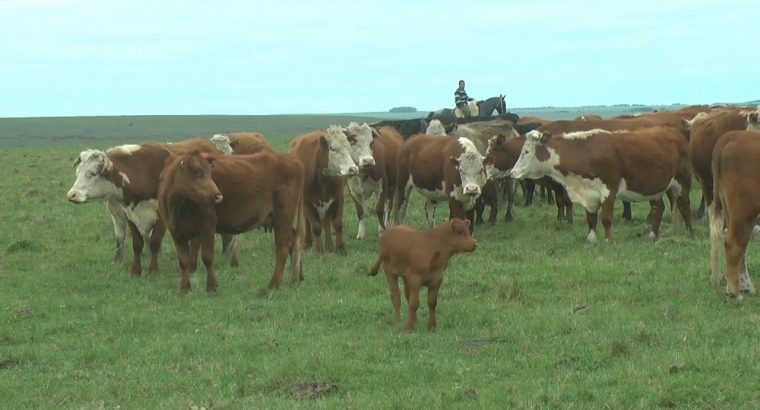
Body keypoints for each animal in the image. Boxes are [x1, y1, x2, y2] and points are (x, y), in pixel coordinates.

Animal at [66, 139, 221, 278]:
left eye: (92, 174)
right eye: (77, 173)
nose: (72, 195)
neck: (143, 171)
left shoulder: (161, 218)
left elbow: (155, 242)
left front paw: (153, 270)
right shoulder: (129, 214)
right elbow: (137, 243)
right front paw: (135, 270)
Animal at [158, 149, 306, 294]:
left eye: (210, 172)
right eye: (196, 172)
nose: (218, 195)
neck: (177, 206)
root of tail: (295, 161)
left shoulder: (208, 226)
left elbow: (207, 257)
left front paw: (212, 286)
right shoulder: (176, 232)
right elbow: (183, 262)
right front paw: (184, 288)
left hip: (283, 216)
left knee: (282, 248)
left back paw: (273, 284)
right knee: (294, 241)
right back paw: (297, 277)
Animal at [292, 125, 360, 253]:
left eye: (348, 147)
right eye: (332, 149)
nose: (353, 169)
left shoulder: (338, 197)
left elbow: (338, 223)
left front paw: (340, 246)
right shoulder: (307, 202)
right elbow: (316, 226)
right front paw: (319, 249)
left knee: (326, 221)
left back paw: (329, 244)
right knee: (308, 221)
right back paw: (307, 243)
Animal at [708, 131, 760, 298]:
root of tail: (733, 135)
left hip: (730, 209)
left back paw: (744, 287)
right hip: (743, 210)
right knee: (734, 243)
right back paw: (734, 292)